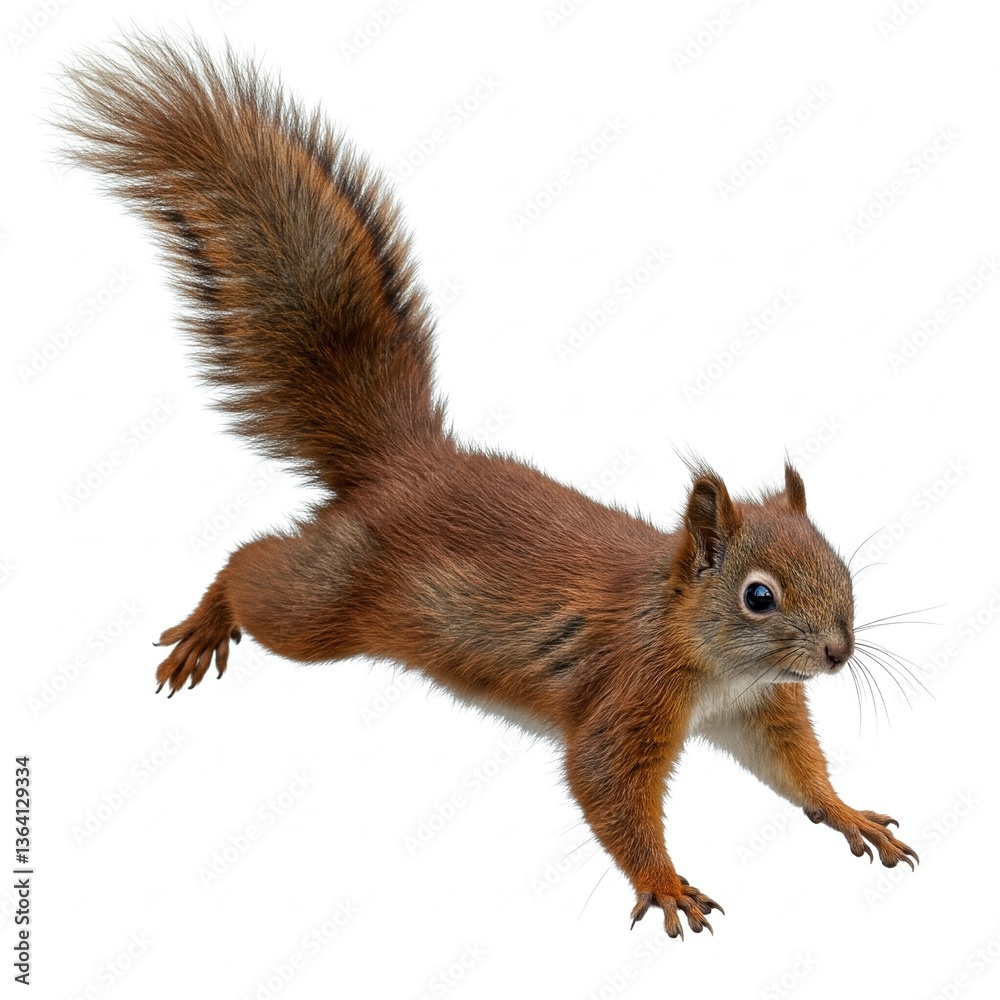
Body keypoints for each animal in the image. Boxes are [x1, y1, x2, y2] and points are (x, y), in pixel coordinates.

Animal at [57, 33, 917, 938]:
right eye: (759, 596)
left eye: (842, 567)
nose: (838, 652)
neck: (698, 647)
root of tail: (405, 460)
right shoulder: (627, 695)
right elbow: (606, 785)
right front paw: (664, 881)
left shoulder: (759, 709)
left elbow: (796, 768)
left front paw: (847, 810)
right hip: (328, 604)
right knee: (253, 569)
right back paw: (207, 621)